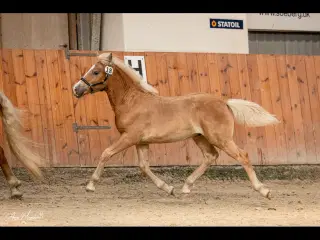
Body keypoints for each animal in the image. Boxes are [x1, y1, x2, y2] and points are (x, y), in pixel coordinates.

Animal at [73, 53, 280, 199]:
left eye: (96, 72)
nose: (77, 89)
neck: (131, 102)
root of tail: (224, 102)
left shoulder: (130, 137)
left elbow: (106, 153)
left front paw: (90, 185)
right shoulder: (141, 142)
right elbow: (144, 166)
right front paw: (169, 188)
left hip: (220, 138)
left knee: (242, 155)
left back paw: (264, 190)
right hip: (200, 137)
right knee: (210, 156)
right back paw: (186, 187)